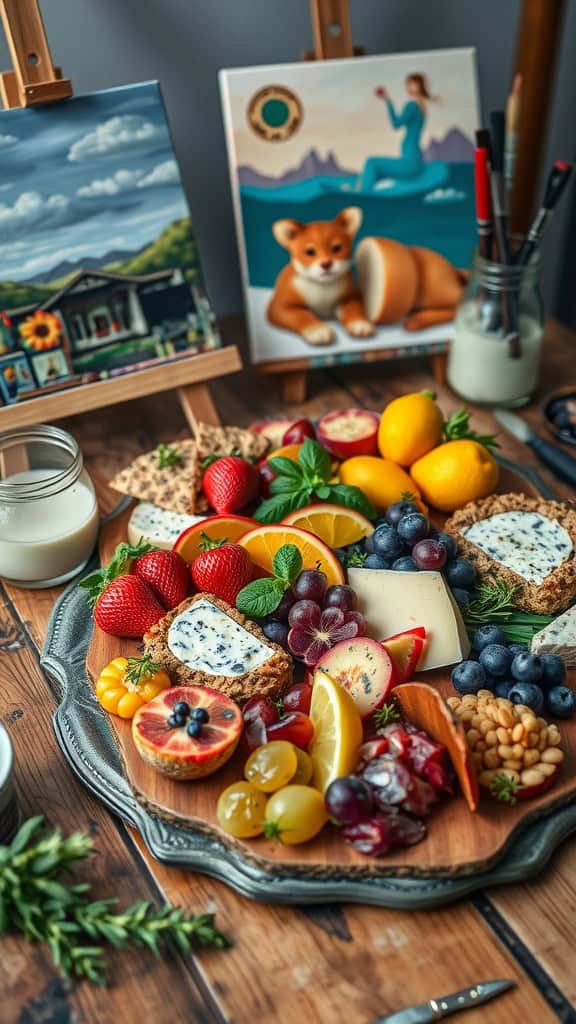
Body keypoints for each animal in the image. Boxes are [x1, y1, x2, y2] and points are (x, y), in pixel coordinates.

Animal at [266, 205, 463, 346]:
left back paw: (420, 319)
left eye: (337, 248)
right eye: (310, 252)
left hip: (433, 292)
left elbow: (354, 310)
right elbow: (302, 316)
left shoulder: (349, 298)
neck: (323, 287)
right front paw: (318, 330)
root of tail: (451, 268)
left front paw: (359, 324)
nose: (326, 264)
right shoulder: (280, 307)